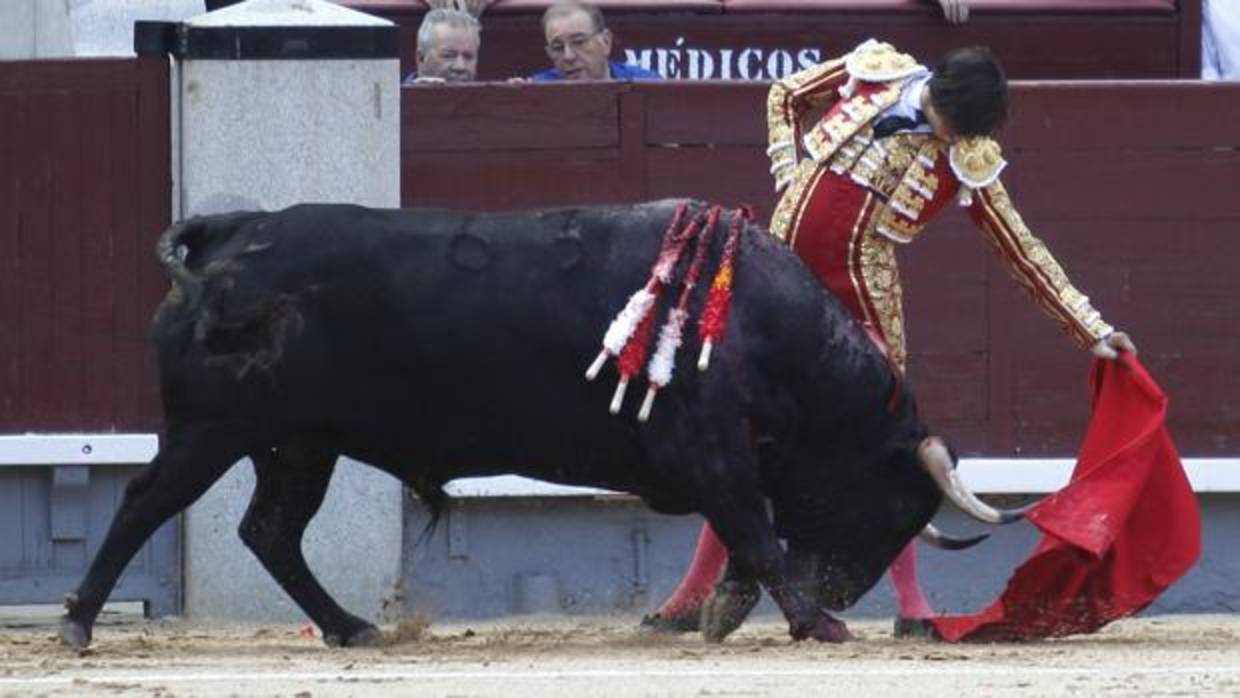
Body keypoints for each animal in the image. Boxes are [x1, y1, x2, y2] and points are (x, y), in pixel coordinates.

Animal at [55, 199, 947, 649]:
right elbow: (757, 536)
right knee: (145, 503)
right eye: (895, 503)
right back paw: (76, 623)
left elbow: (747, 540)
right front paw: (819, 622)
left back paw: (351, 628)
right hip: (211, 430)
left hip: (299, 445)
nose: (845, 588)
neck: (759, 322)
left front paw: (739, 615)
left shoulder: (727, 462)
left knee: (270, 531)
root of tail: (226, 235)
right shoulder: (712, 453)